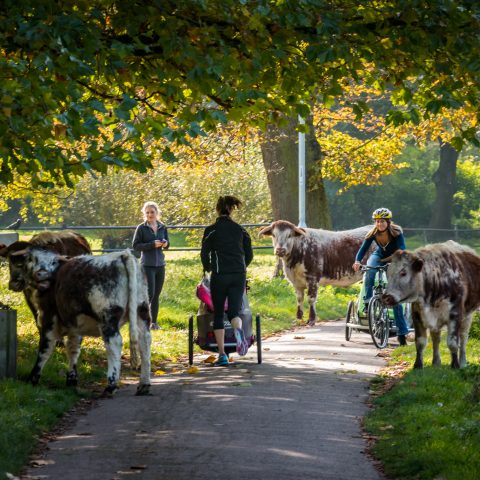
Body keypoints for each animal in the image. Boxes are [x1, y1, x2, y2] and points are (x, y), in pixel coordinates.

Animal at [12, 246, 151, 396]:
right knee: (145, 341)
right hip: (142, 311)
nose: (42, 273)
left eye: (53, 261)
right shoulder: (75, 325)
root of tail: (122, 255)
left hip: (108, 317)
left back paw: (111, 386)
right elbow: (73, 349)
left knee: (115, 343)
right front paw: (71, 380)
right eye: (31, 259)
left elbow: (45, 349)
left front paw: (33, 378)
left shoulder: (49, 318)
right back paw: (144, 384)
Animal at [382, 242, 480, 370]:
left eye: (403, 273)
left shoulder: (455, 315)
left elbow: (453, 342)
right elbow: (420, 342)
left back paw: (463, 363)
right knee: (436, 338)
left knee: (463, 338)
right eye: (388, 273)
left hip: (468, 316)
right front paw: (418, 365)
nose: (386, 297)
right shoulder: (417, 315)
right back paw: (436, 362)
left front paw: (455, 365)